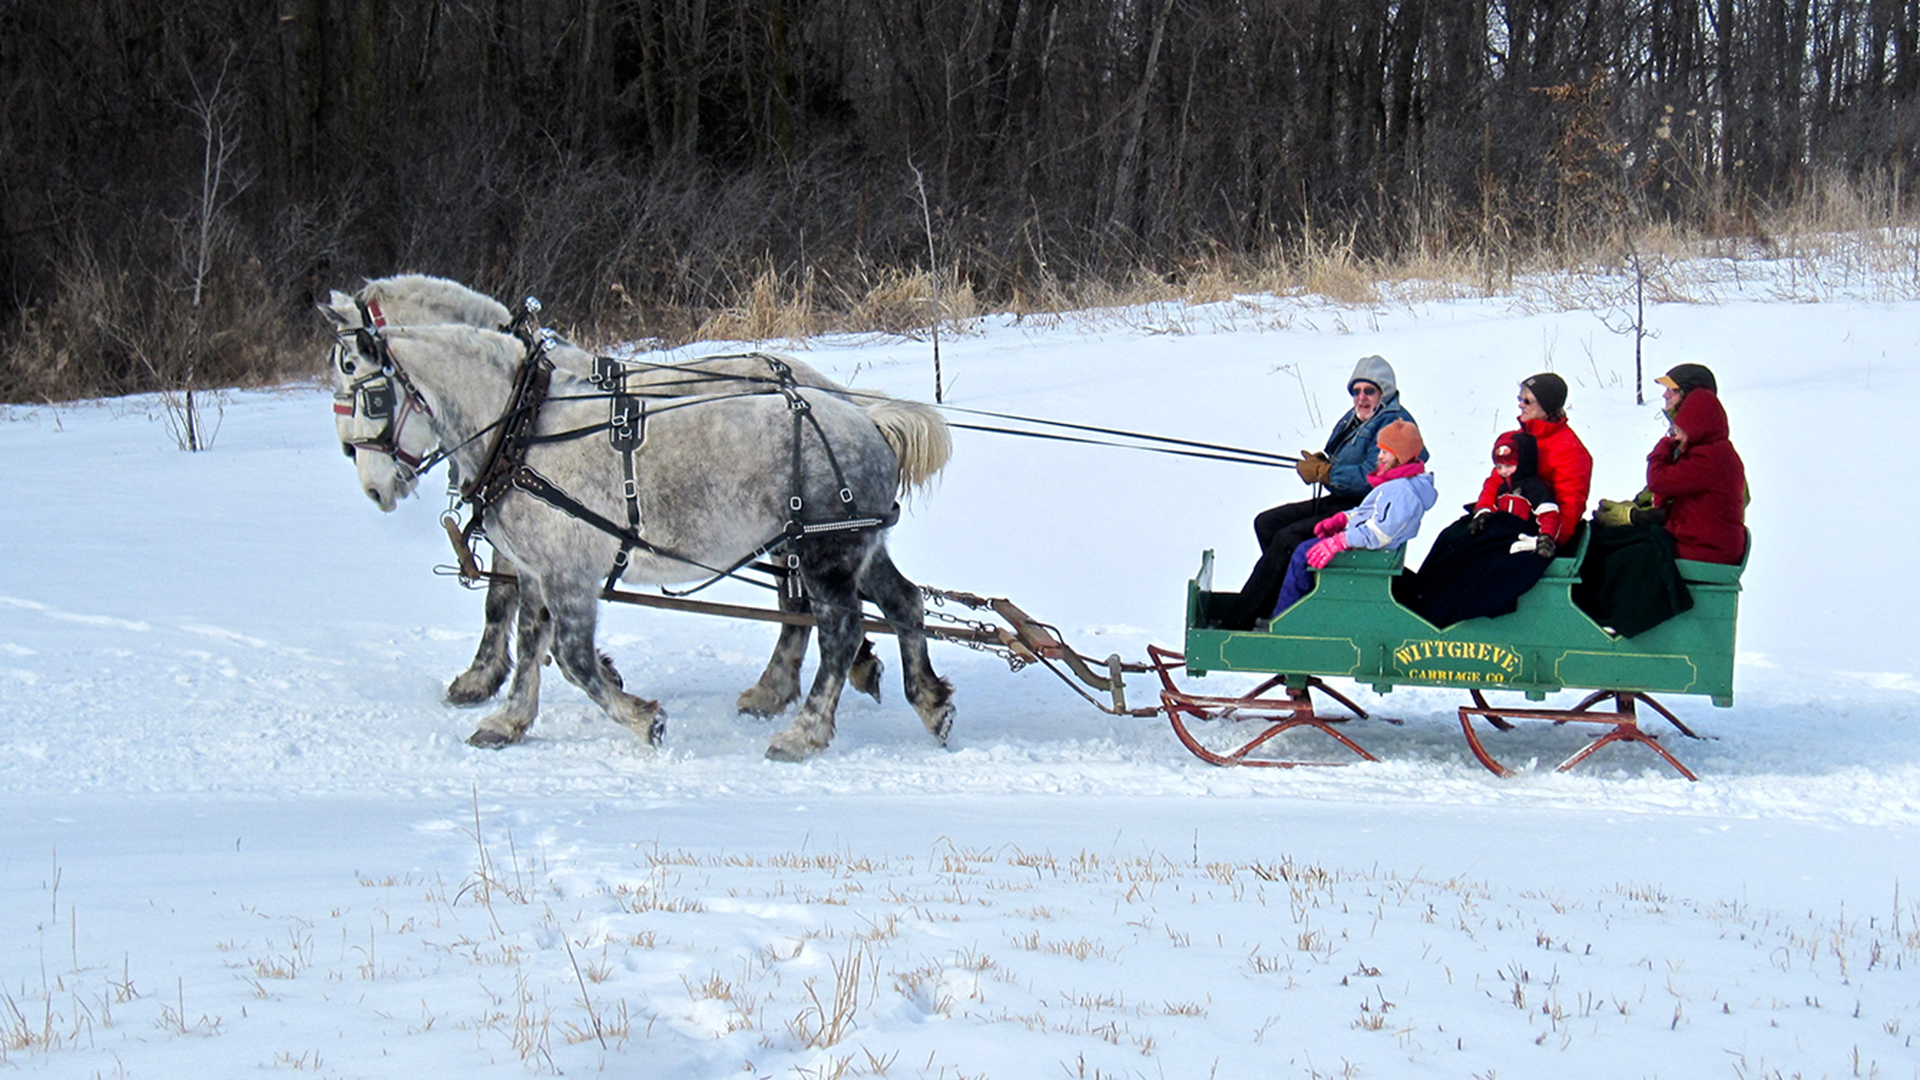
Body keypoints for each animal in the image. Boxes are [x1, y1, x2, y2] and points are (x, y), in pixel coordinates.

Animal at [322, 294, 955, 760]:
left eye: (370, 394)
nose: (375, 488)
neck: (522, 428)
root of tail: (863, 415)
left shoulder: (570, 574)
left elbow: (572, 658)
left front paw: (641, 719)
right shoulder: (537, 569)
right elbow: (528, 640)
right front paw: (508, 720)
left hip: (824, 553)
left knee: (838, 631)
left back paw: (804, 730)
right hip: (855, 547)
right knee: (904, 603)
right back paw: (928, 701)